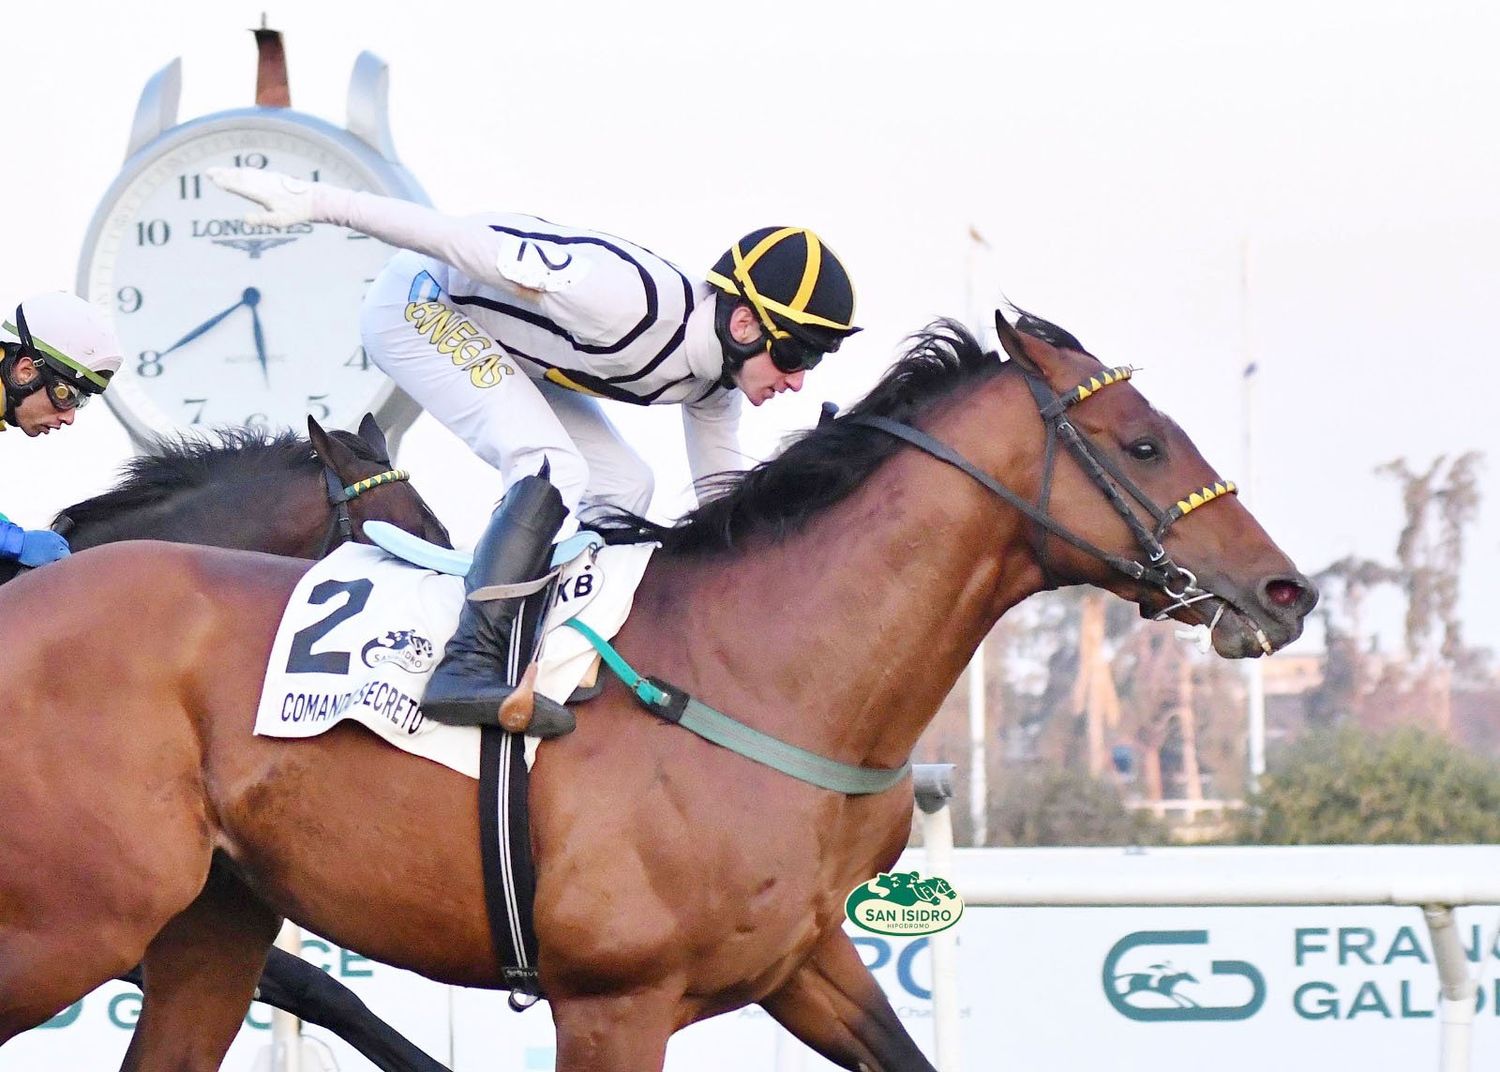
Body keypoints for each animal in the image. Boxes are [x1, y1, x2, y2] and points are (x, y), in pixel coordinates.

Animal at [0, 308, 1314, 1067]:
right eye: (1144, 444)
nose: (1287, 589)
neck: (764, 666)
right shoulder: (612, 999)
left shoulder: (806, 962)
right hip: (77, 918)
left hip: (206, 925)